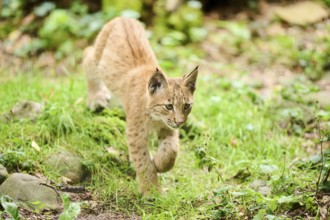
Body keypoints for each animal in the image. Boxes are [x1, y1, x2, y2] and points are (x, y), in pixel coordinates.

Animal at [82, 17, 199, 194]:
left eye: (186, 106)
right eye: (169, 106)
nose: (180, 122)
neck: (156, 117)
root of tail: (123, 17)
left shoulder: (167, 127)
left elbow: (171, 150)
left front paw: (159, 164)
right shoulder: (135, 133)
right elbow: (142, 161)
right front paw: (151, 191)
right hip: (98, 60)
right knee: (88, 54)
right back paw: (96, 98)